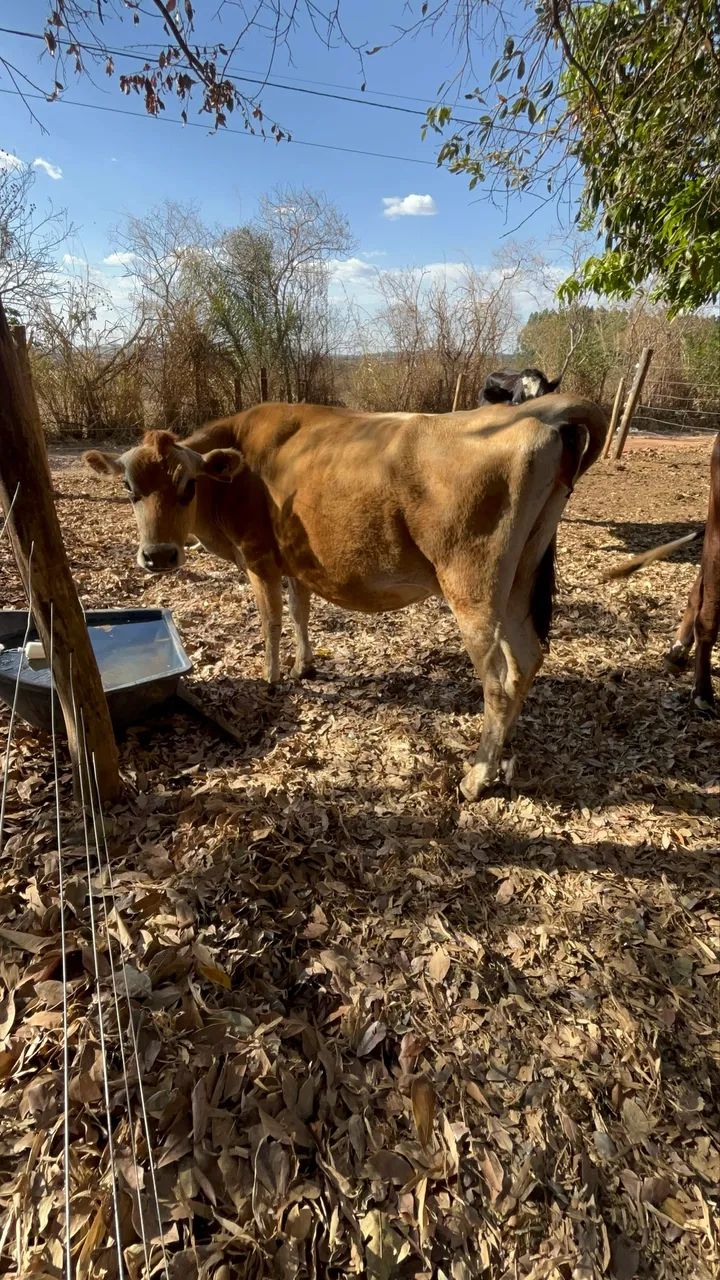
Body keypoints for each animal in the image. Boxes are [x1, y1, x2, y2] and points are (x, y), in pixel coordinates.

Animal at [84, 395, 607, 798]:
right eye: (129, 489)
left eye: (188, 485)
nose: (158, 555)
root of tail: (539, 416)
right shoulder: (295, 563)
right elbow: (299, 612)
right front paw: (304, 667)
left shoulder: (258, 558)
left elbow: (271, 620)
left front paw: (271, 678)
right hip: (520, 579)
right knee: (527, 660)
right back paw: (502, 754)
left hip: (474, 588)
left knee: (497, 679)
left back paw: (477, 776)